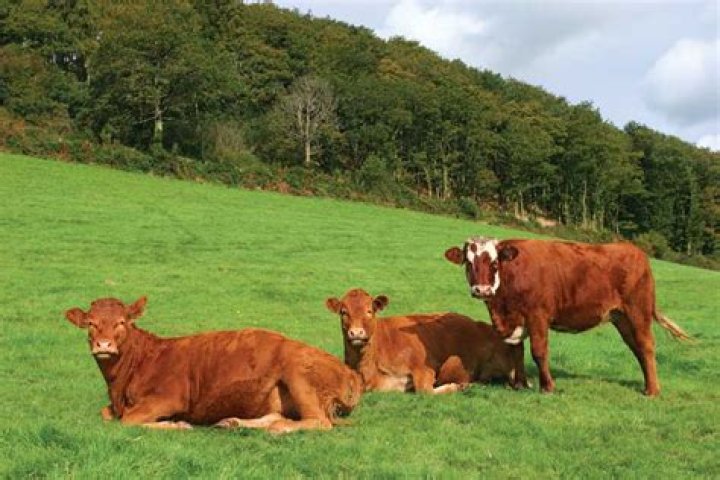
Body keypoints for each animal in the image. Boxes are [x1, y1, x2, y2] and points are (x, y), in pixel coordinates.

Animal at [64, 296, 362, 433]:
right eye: (90, 323)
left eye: (121, 322)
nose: (103, 345)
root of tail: (348, 371)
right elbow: (107, 414)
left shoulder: (169, 398)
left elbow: (127, 421)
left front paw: (177, 425)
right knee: (277, 415)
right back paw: (234, 422)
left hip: (298, 374)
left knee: (319, 421)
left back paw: (276, 431)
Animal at [325, 288, 528, 393]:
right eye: (343, 312)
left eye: (370, 311)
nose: (356, 333)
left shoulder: (424, 368)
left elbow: (426, 391)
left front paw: (453, 387)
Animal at [444, 237, 692, 396]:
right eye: (468, 263)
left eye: (495, 263)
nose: (481, 290)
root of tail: (634, 250)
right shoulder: (515, 322)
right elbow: (517, 351)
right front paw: (520, 384)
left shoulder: (538, 315)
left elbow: (538, 351)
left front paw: (547, 387)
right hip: (621, 318)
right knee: (637, 347)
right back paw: (648, 385)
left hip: (638, 311)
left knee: (646, 346)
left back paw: (653, 390)